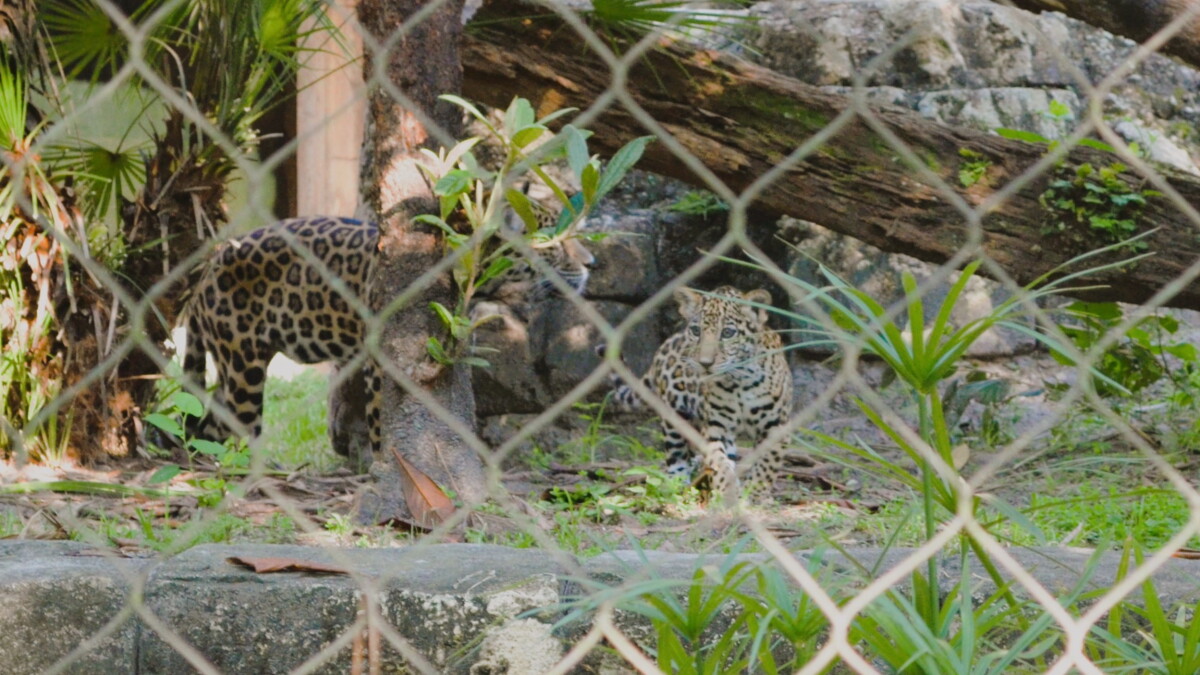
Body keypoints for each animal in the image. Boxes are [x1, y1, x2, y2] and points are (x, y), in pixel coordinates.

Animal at [178, 200, 593, 457]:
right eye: (554, 244)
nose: (592, 262)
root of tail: (207, 270)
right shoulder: (381, 358)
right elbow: (381, 416)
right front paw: (384, 465)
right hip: (242, 363)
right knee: (237, 425)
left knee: (211, 425)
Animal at [603, 285, 793, 504]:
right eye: (696, 331)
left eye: (727, 333)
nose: (705, 363)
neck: (740, 382)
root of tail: (665, 345)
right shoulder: (716, 427)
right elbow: (719, 462)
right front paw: (727, 491)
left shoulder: (777, 425)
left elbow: (767, 464)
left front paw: (756, 493)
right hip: (674, 414)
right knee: (676, 453)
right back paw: (677, 483)